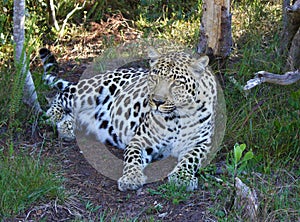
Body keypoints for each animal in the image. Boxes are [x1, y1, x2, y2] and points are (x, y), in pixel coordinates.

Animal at [39, 46, 218, 191]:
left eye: (176, 83)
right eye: (155, 78)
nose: (157, 101)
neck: (177, 117)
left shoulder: (201, 144)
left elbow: (190, 159)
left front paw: (182, 177)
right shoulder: (141, 140)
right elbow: (133, 158)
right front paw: (131, 178)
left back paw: (66, 127)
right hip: (91, 91)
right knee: (62, 94)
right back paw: (52, 116)